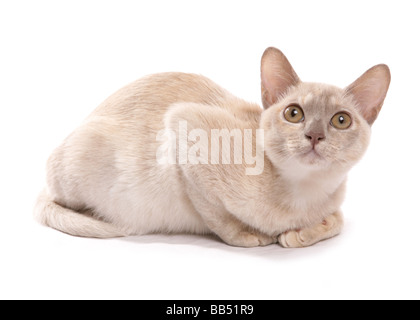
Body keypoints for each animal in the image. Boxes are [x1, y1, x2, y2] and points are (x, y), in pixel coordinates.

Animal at [34, 47, 392, 248]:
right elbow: (219, 218)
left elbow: (337, 221)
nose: (315, 136)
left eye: (340, 120)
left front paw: (300, 234)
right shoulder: (184, 128)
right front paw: (253, 236)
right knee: (58, 203)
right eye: (294, 114)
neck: (305, 193)